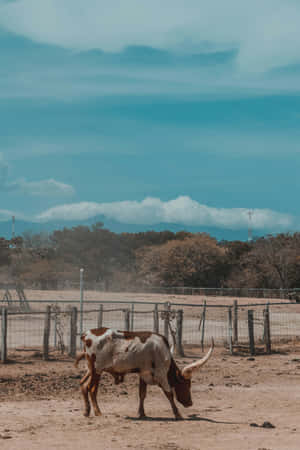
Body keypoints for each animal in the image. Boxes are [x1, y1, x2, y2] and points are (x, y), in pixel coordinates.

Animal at [76, 326, 214, 418]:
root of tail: (86, 335)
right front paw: (177, 414)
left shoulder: (143, 373)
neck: (162, 351)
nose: (190, 403)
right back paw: (95, 411)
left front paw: (141, 413)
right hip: (96, 370)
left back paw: (88, 411)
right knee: (90, 388)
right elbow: (169, 393)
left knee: (84, 385)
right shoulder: (161, 374)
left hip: (92, 370)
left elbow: (142, 394)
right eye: (186, 384)